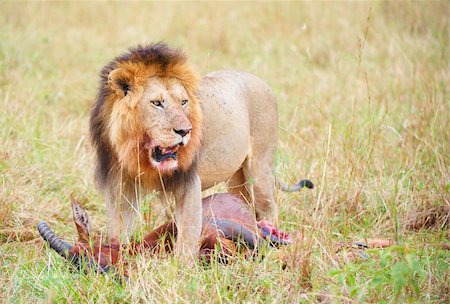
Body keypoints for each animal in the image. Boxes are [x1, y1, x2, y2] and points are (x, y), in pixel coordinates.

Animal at [89, 44, 312, 260]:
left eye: (183, 102)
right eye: (157, 103)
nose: (185, 131)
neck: (138, 152)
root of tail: (261, 82)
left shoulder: (188, 183)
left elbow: (187, 235)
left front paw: (183, 268)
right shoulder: (121, 185)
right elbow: (118, 229)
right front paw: (118, 254)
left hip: (259, 169)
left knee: (269, 209)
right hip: (236, 178)